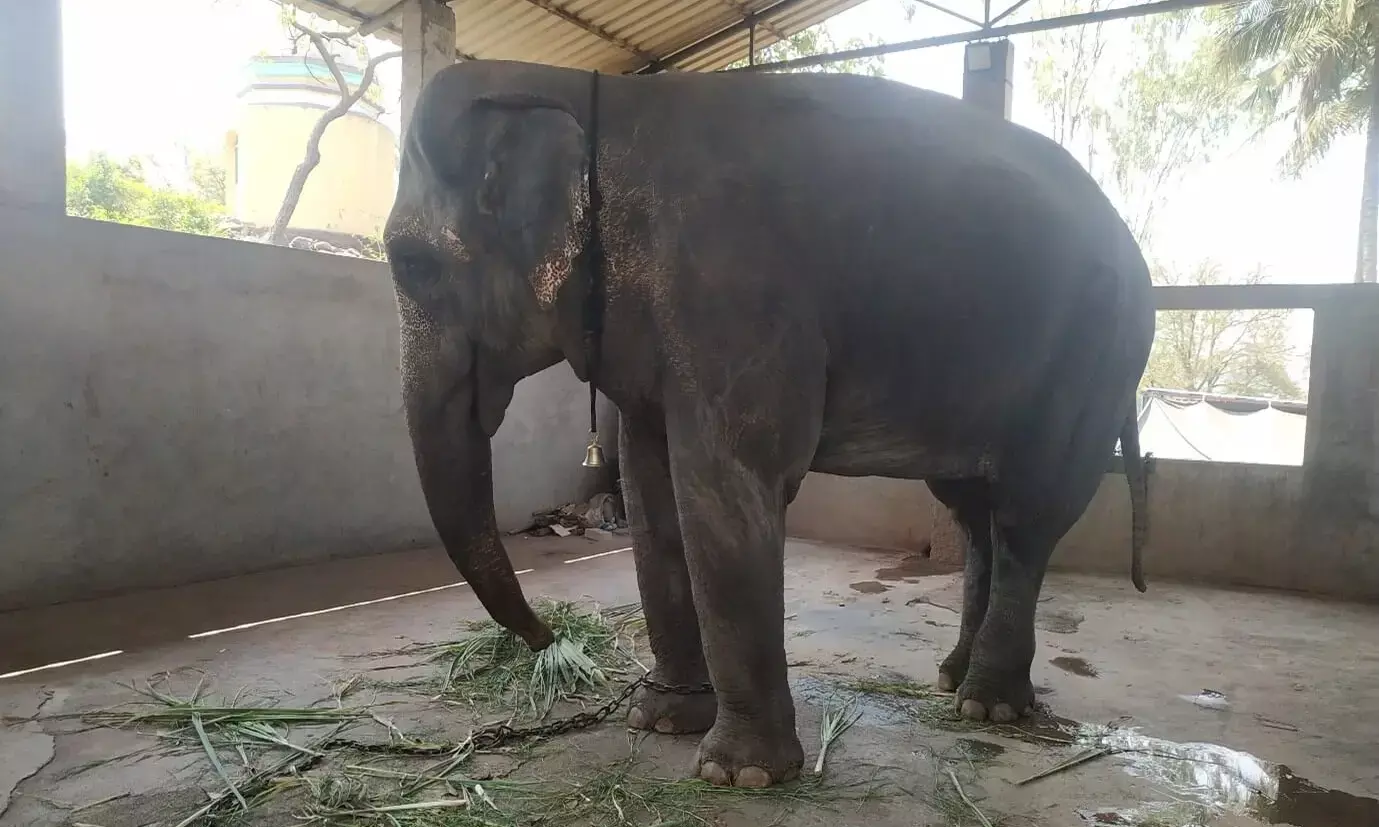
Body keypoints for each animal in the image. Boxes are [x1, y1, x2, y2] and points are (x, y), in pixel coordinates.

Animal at [383, 59, 1154, 789]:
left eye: (411, 265)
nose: (548, 639)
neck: (595, 99)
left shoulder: (734, 295)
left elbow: (727, 486)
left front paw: (741, 774)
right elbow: (650, 492)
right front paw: (662, 720)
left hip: (1096, 351)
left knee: (1028, 514)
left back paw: (987, 706)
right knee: (973, 512)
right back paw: (952, 678)